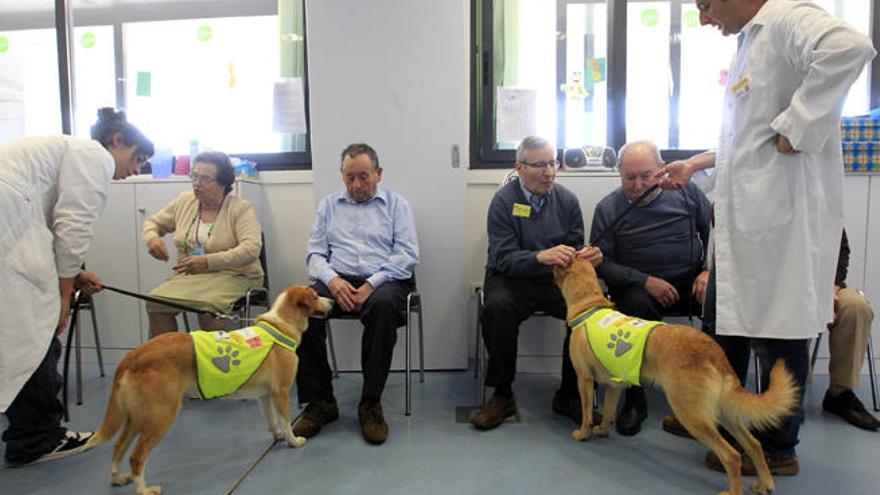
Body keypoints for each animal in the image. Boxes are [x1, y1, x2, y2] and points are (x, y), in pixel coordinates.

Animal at [83, 286, 330, 495]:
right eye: (315, 295)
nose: (331, 301)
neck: (280, 325)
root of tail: (132, 356)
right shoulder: (281, 391)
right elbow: (286, 421)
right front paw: (293, 441)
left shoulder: (264, 395)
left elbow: (272, 421)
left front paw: (278, 436)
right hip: (160, 415)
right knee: (136, 456)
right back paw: (143, 490)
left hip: (136, 417)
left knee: (118, 446)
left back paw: (117, 479)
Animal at [556, 260, 796, 495]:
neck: (589, 305)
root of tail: (713, 351)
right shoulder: (614, 384)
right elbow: (607, 412)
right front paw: (603, 430)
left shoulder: (584, 379)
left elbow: (587, 413)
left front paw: (583, 433)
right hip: (724, 412)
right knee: (754, 444)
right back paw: (765, 484)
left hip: (690, 413)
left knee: (731, 455)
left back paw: (732, 490)